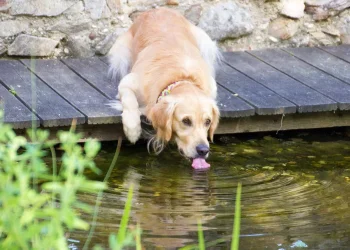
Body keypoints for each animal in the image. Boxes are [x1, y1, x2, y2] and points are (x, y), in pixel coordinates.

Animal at [108, 7, 220, 169]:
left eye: (208, 122)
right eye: (186, 121)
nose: (203, 150)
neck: (181, 79)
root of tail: (158, 8)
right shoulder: (128, 81)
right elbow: (130, 101)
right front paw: (133, 130)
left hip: (206, 42)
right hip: (120, 53)